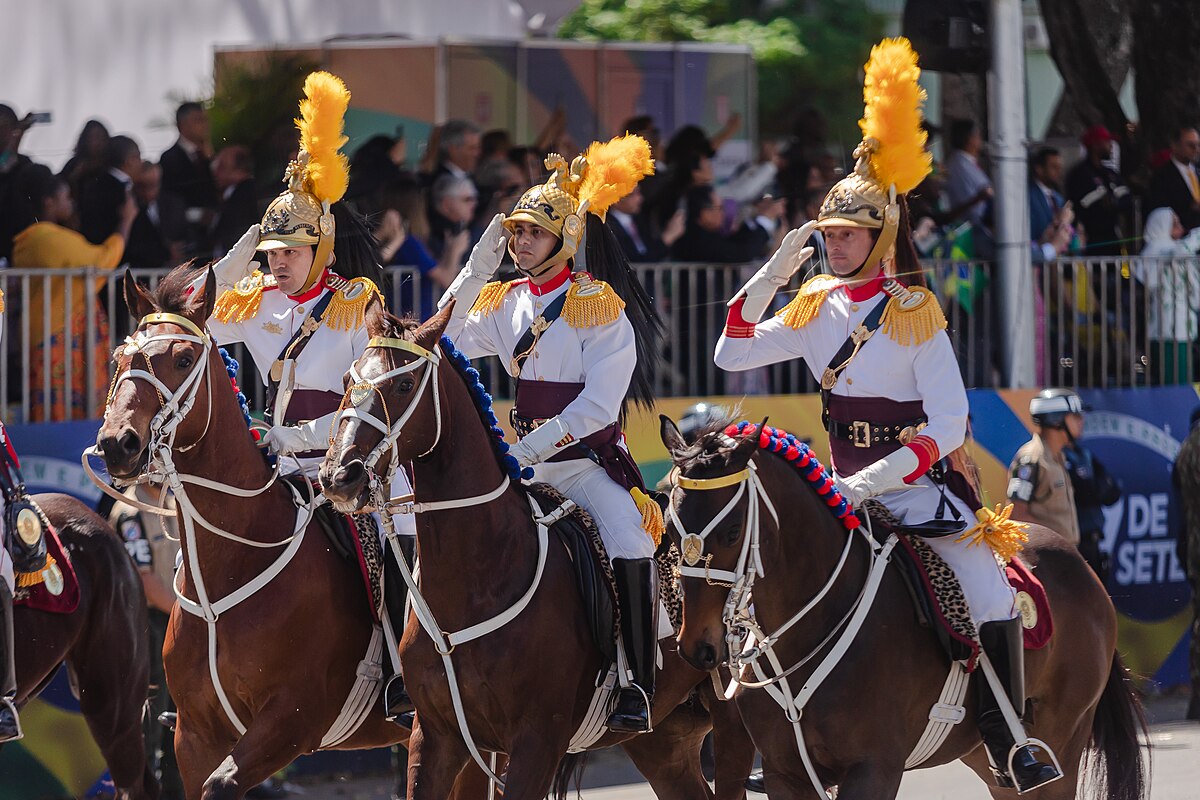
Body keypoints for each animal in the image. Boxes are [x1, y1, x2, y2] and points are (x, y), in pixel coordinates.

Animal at [93, 268, 494, 800]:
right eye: (119, 357)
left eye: (182, 359)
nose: (118, 443)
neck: (231, 568)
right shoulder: (193, 736)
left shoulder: (291, 722)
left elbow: (223, 784)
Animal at [314, 304, 753, 800]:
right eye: (348, 378)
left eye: (404, 384)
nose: (338, 476)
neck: (477, 582)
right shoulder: (437, 737)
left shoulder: (537, 742)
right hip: (664, 740)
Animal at [662, 419, 1147, 800]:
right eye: (670, 527)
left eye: (731, 531)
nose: (697, 646)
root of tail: (1082, 565)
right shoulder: (787, 776)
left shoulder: (873, 770)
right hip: (986, 760)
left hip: (1062, 741)